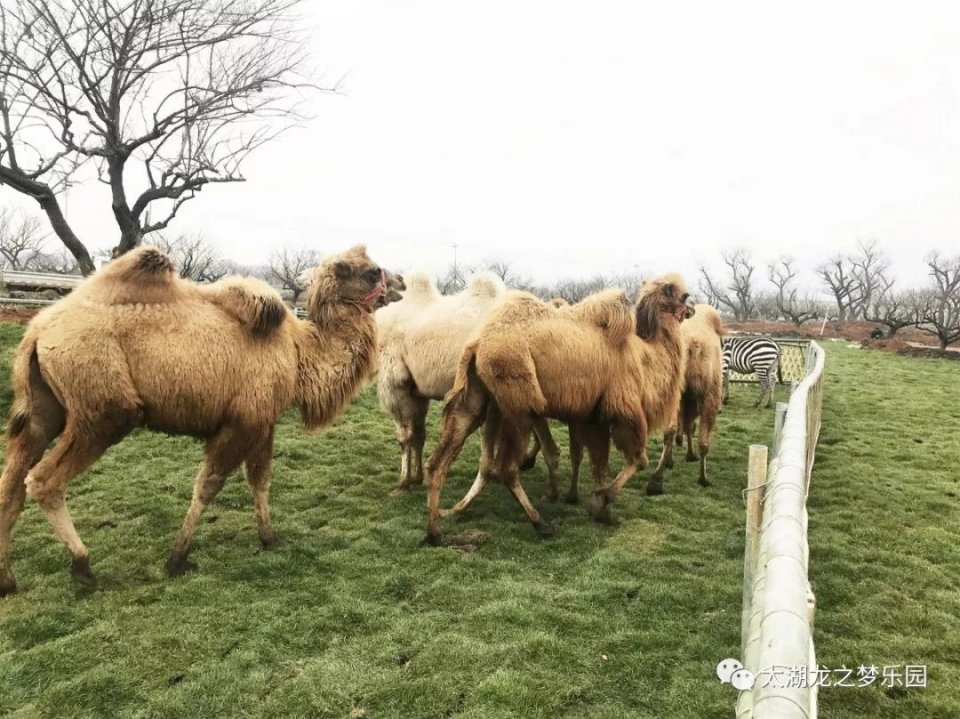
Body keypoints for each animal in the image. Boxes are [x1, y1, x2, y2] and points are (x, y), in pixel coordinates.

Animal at [0, 245, 404, 592]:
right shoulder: (242, 421)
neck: (298, 353)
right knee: (43, 481)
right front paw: (177, 557)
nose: (400, 282)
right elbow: (208, 485)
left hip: (44, 409)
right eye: (371, 272)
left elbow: (260, 480)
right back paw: (83, 566)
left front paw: (269, 537)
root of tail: (37, 331)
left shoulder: (264, 422)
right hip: (104, 411)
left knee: (13, 482)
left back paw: (8, 581)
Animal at [426, 278, 688, 544]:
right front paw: (600, 501)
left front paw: (601, 509)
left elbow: (599, 466)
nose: (691, 310)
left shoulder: (593, 418)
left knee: (440, 461)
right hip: (519, 405)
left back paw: (435, 531)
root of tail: (477, 345)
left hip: (476, 400)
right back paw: (541, 523)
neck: (647, 358)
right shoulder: (624, 410)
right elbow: (637, 460)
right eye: (683, 296)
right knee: (506, 468)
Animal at [648, 302, 724, 496]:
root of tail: (693, 344)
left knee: (673, 431)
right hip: (708, 395)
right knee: (700, 439)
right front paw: (689, 455)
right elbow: (689, 427)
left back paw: (657, 480)